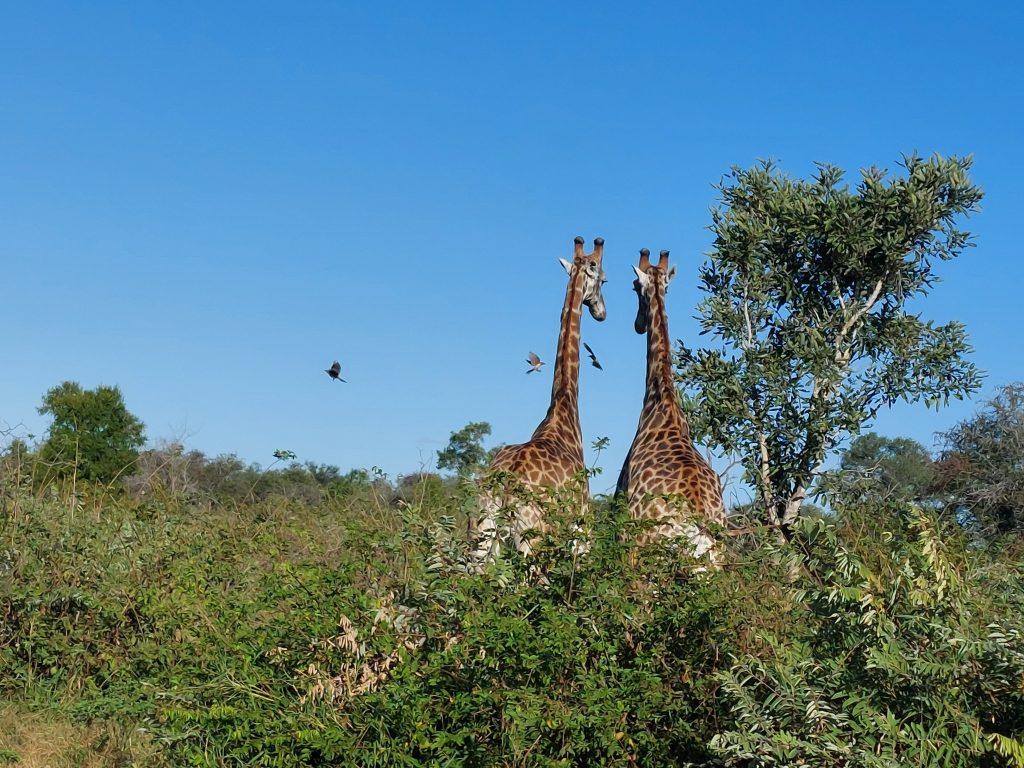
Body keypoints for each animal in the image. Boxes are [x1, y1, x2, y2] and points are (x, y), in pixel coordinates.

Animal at [475, 234, 602, 561]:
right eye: (603, 279)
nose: (601, 312)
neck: (563, 406)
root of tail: (506, 485)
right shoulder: (582, 530)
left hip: (483, 535)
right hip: (534, 539)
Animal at [614, 250, 729, 561]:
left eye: (634, 286)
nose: (638, 324)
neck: (662, 399)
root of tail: (699, 519)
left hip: (646, 548)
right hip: (715, 560)